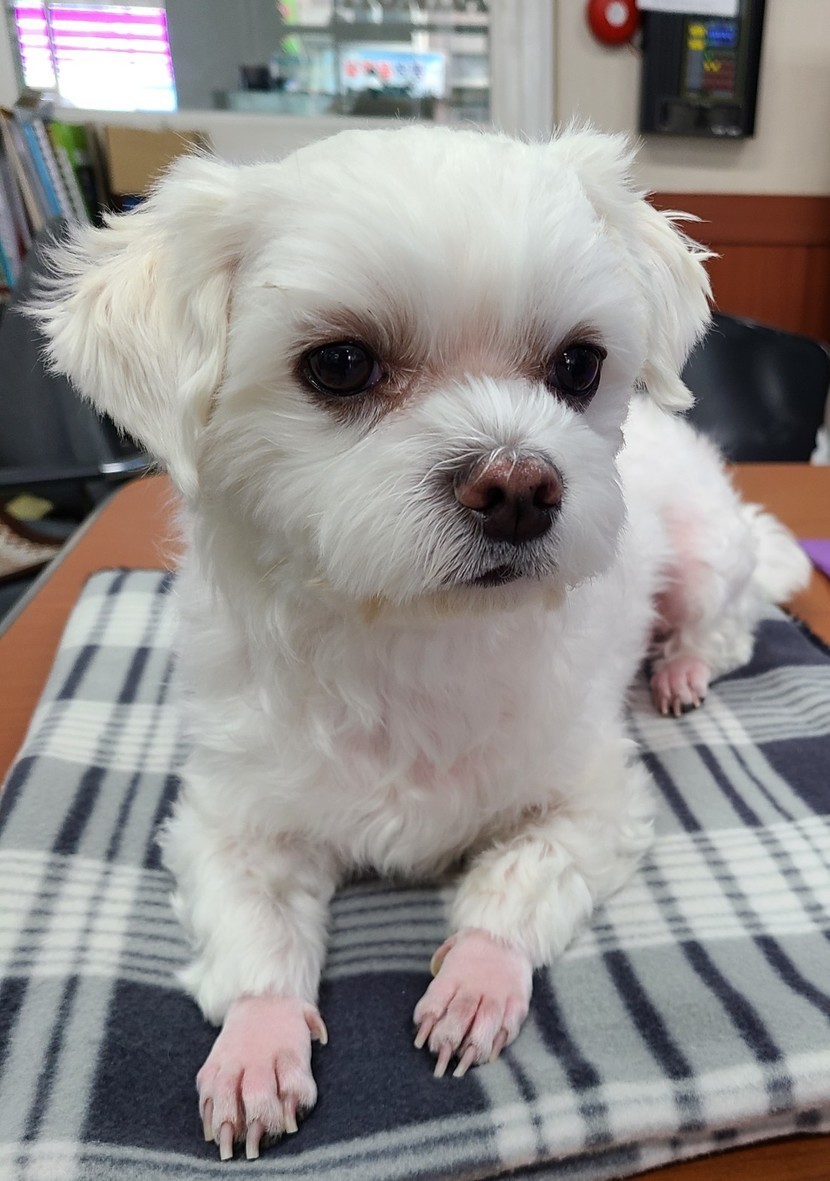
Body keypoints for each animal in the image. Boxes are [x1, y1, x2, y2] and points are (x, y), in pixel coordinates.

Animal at [33, 125, 810, 1161]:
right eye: (340, 365)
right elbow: (255, 928)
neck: (408, 635)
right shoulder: (228, 820)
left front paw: (478, 977)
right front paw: (256, 1042)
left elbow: (521, 872)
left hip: (698, 553)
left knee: (723, 623)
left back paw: (681, 665)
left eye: (578, 365)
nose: (520, 485)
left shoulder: (596, 800)